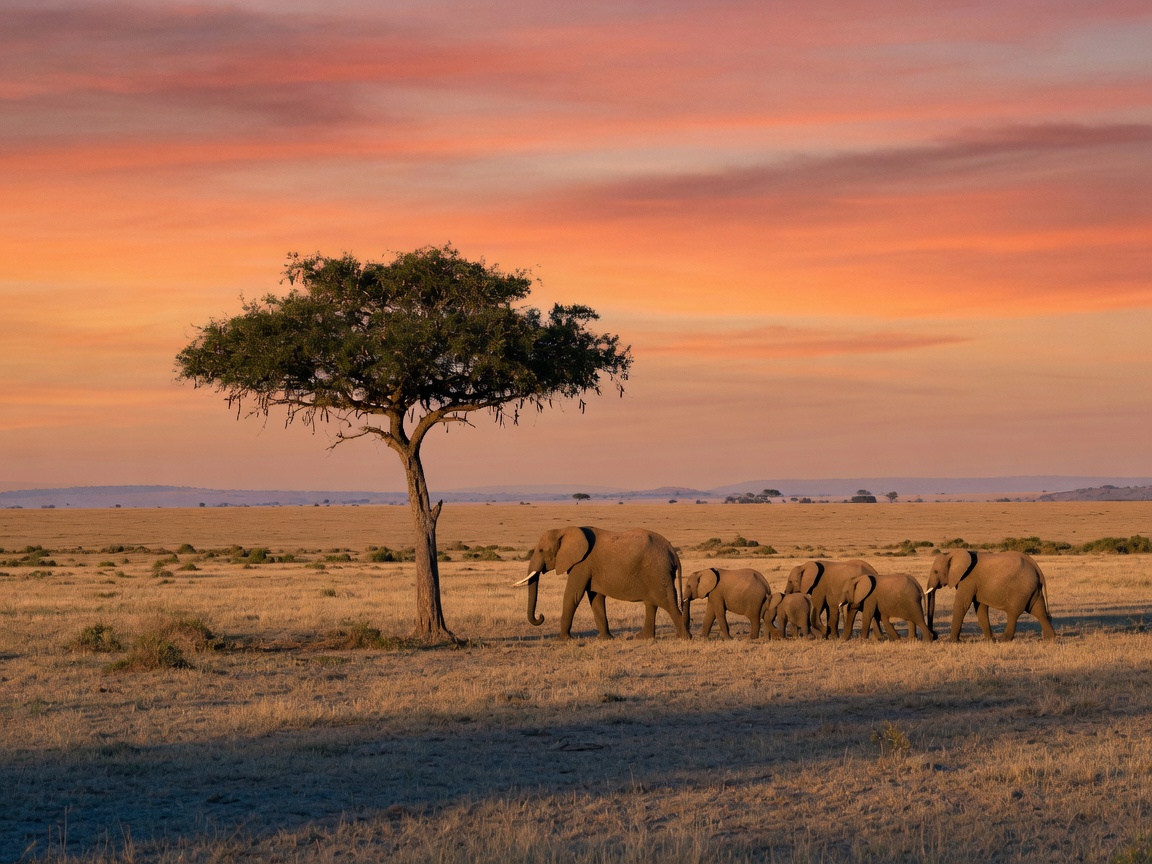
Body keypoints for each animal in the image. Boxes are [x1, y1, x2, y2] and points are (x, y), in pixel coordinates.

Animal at [514, 526, 690, 640]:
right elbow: (596, 598)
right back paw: (643, 638)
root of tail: (671, 550)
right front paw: (605, 639)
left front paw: (562, 640)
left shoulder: (582, 564)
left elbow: (573, 595)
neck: (564, 530)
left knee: (666, 602)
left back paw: (684, 638)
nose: (541, 616)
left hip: (657, 570)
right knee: (651, 603)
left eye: (541, 550)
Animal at [925, 550, 1055, 642]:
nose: (934, 635)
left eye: (936, 572)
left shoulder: (968, 579)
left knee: (1013, 613)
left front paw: (952, 641)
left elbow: (962, 604)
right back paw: (1050, 640)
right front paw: (990, 640)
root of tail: (1037, 568)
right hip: (1032, 589)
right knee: (1039, 612)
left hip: (1021, 588)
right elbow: (980, 608)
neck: (952, 553)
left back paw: (1003, 640)